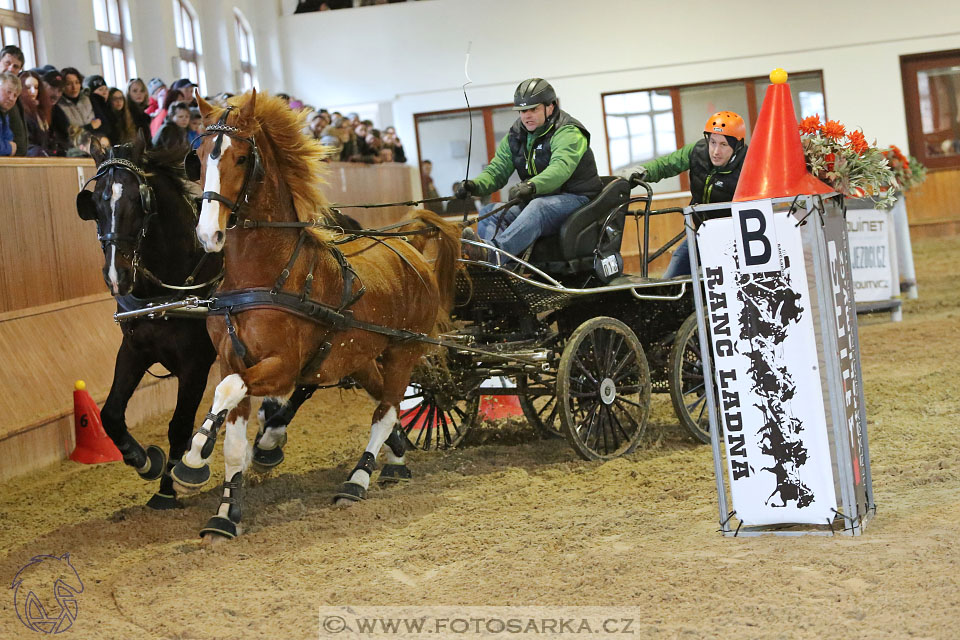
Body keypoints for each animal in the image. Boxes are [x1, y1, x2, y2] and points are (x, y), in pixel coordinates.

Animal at [171, 90, 464, 540]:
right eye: (199, 157)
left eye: (242, 157)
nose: (209, 234)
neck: (266, 276)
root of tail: (410, 248)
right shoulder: (231, 360)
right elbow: (233, 439)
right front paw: (224, 513)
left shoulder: (282, 367)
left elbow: (228, 393)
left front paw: (192, 459)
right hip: (360, 356)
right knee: (385, 401)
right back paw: (395, 461)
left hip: (404, 349)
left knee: (386, 411)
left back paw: (357, 480)